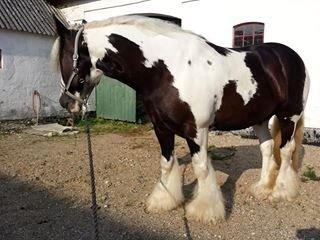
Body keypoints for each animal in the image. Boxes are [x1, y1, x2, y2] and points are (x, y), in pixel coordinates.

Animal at [52, 15, 310, 224]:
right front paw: (163, 200)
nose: (66, 103)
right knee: (267, 149)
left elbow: (201, 168)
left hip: (289, 115)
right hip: (259, 118)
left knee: (286, 150)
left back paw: (281, 191)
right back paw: (262, 188)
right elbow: (166, 163)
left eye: (66, 59)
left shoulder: (196, 129)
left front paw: (205, 211)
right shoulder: (161, 128)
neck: (166, 70)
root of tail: (291, 57)